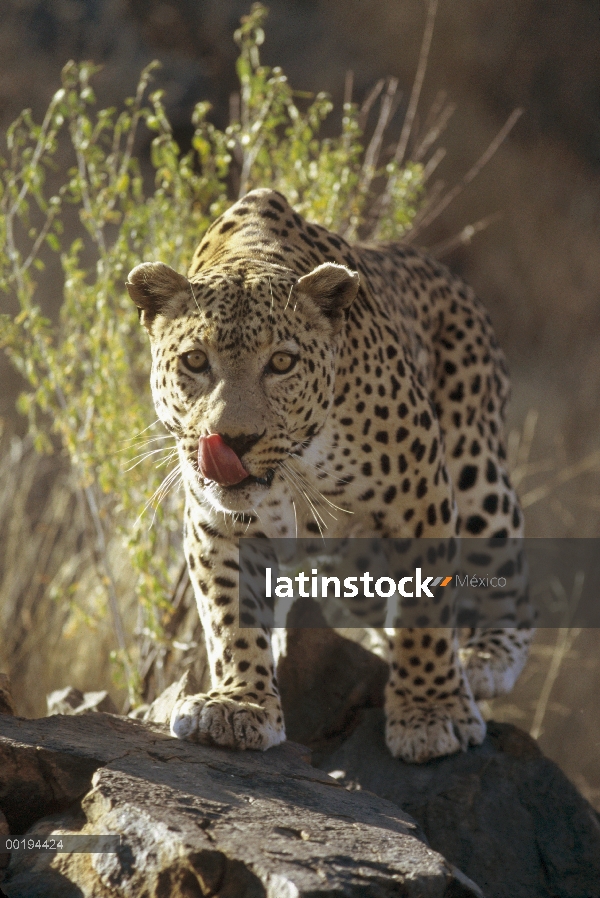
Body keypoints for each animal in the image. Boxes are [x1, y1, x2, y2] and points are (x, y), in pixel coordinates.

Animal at [126, 189, 536, 764]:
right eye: (195, 361)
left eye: (281, 363)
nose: (232, 440)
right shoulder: (216, 520)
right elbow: (230, 612)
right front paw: (240, 704)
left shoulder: (419, 493)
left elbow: (426, 609)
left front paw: (430, 713)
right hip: (352, 568)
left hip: (477, 468)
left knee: (507, 568)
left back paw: (485, 658)